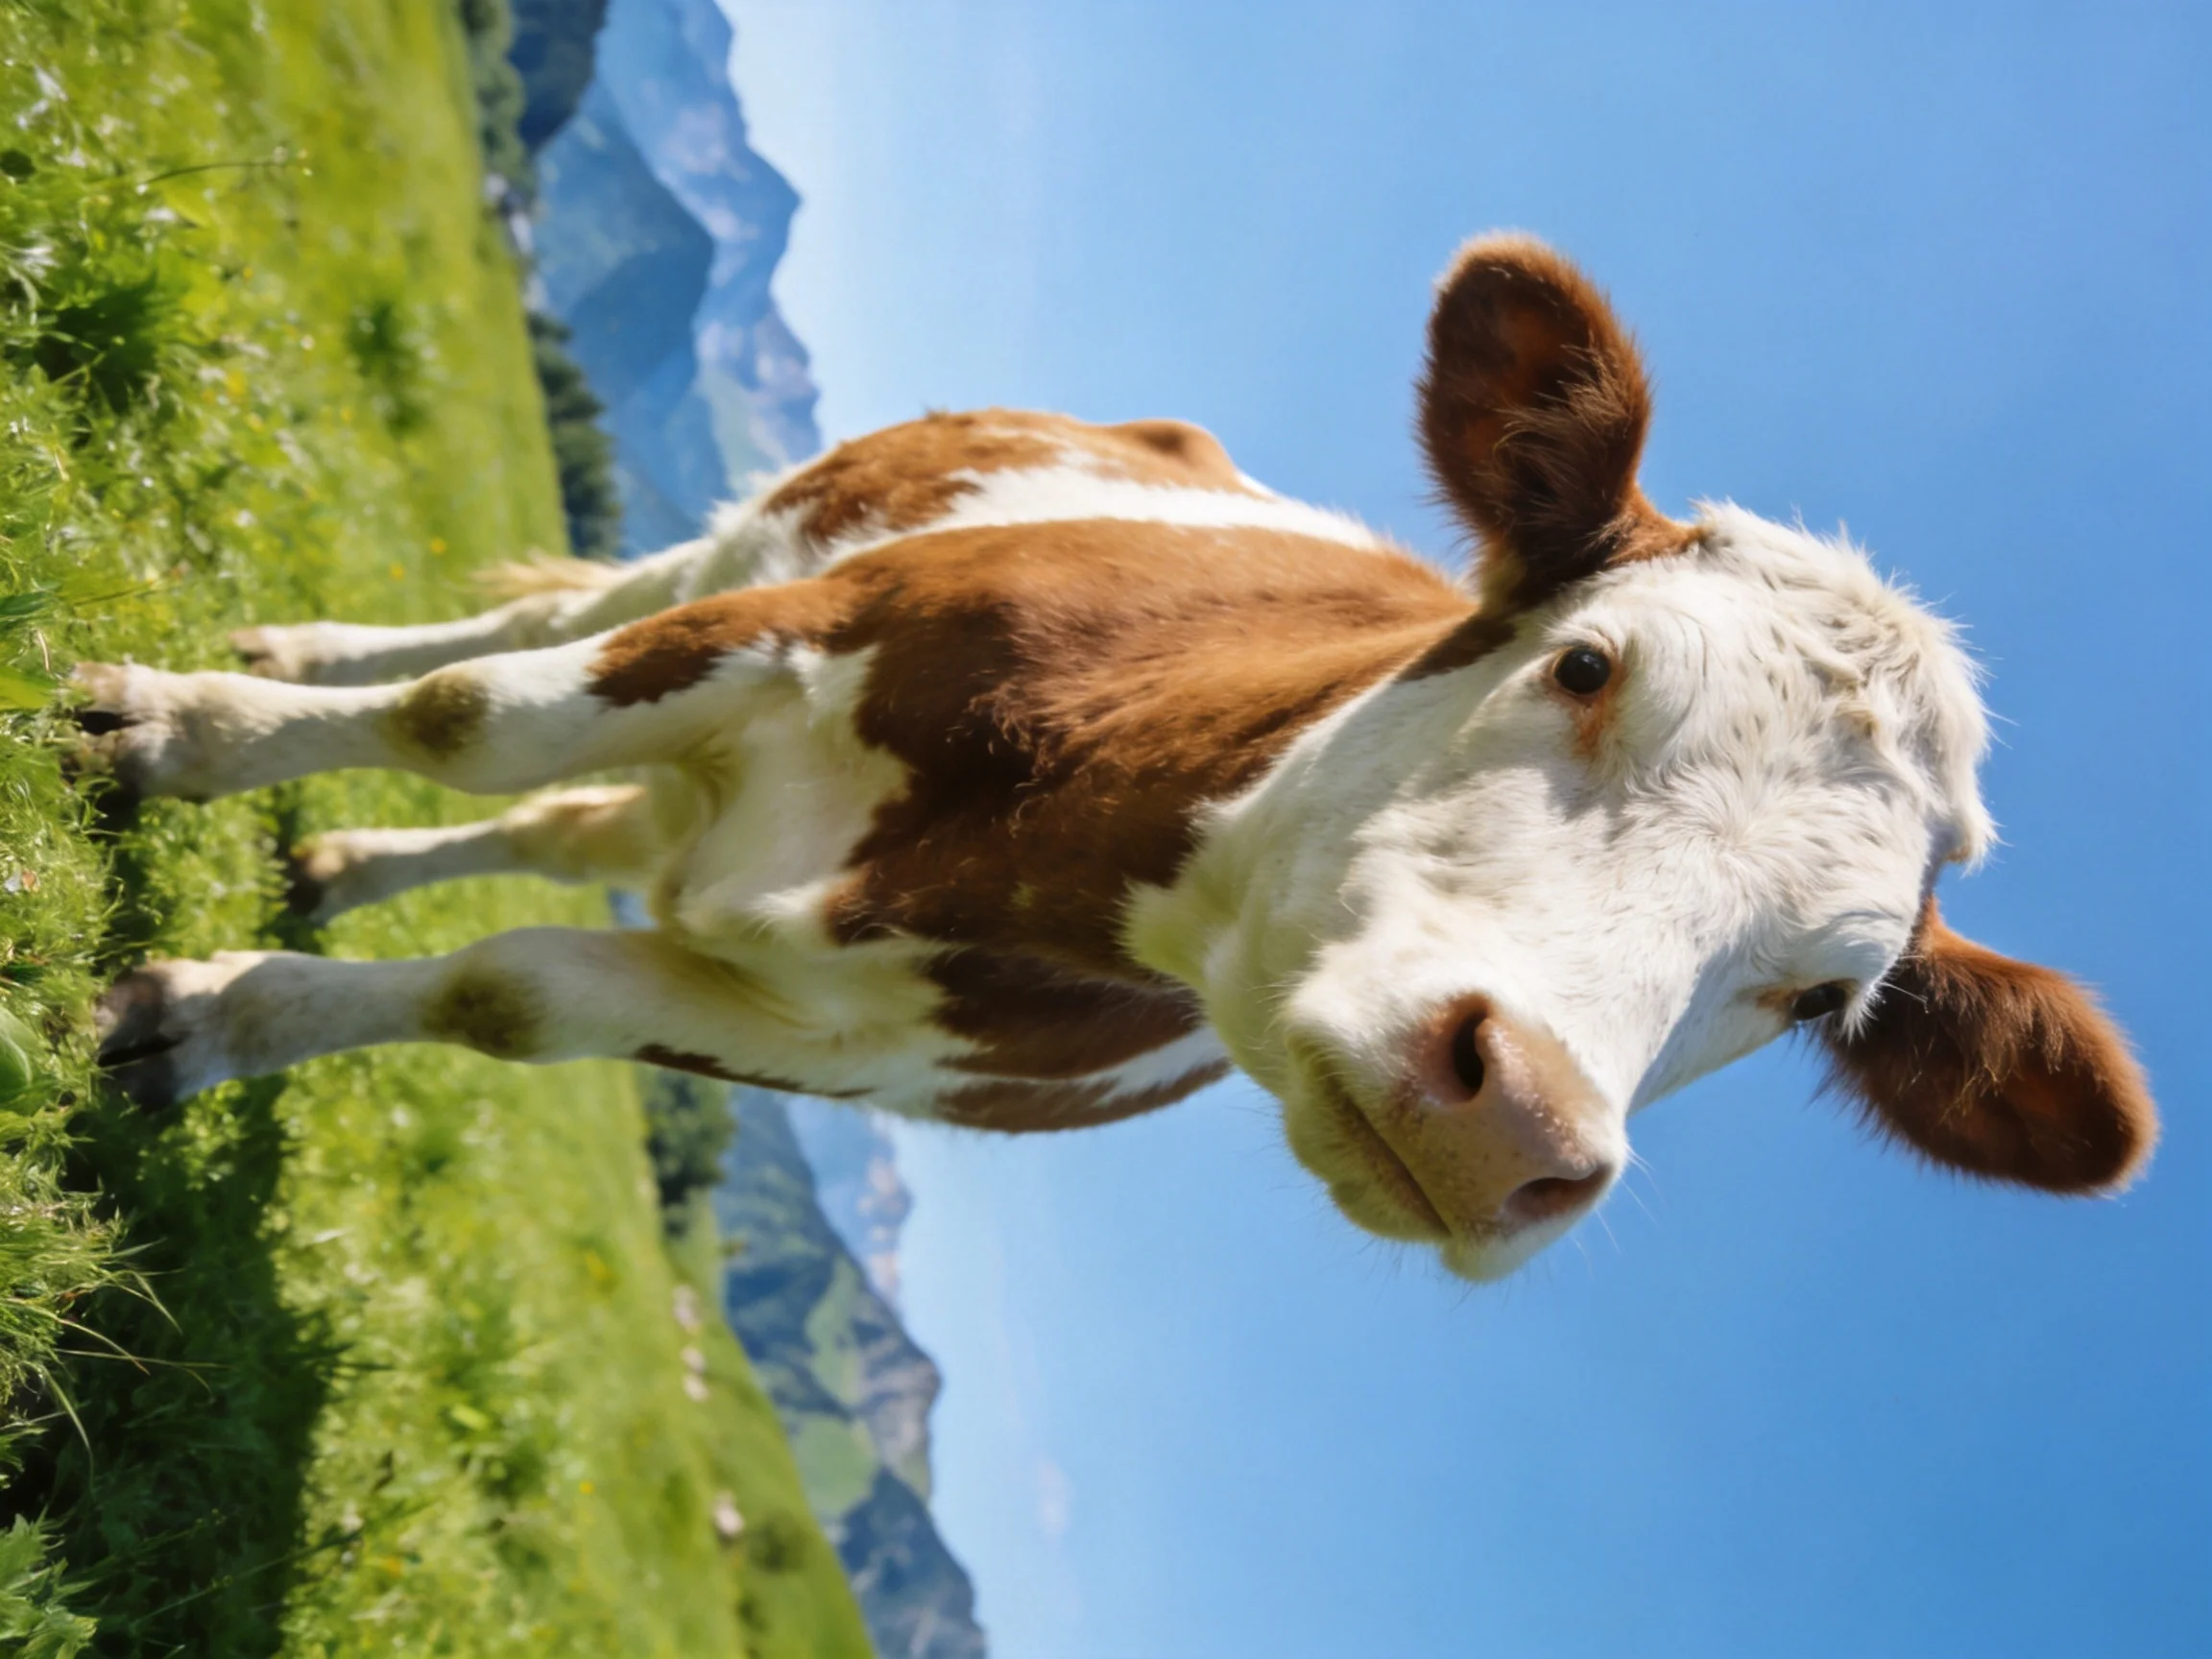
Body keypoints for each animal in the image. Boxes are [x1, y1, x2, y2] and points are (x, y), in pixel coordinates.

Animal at [73, 235, 2156, 1282]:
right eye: (1586, 662)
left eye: (1820, 997)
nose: (1517, 1127)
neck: (1019, 860)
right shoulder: (799, 622)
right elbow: (462, 716)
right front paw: (169, 736)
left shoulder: (822, 1047)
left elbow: (505, 993)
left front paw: (221, 1016)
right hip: (758, 535)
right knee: (517, 648)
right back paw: (287, 668)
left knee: (571, 825)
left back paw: (341, 864)